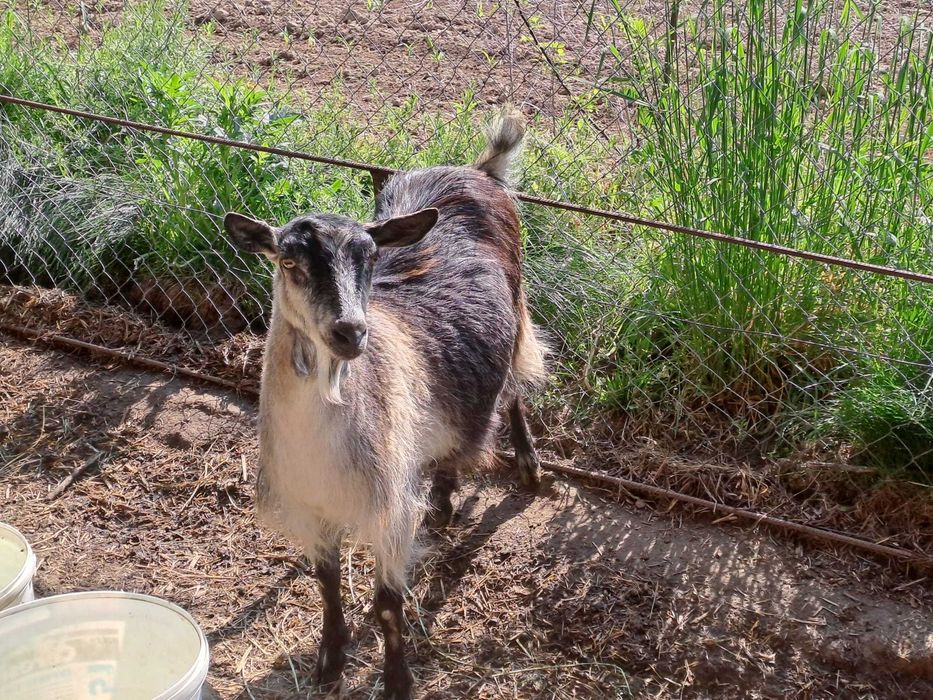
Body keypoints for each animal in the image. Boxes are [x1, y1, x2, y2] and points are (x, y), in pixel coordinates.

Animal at [224, 108, 546, 699]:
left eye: (371, 257)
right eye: (288, 261)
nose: (350, 331)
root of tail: (476, 168)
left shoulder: (389, 511)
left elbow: (388, 606)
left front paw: (398, 681)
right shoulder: (314, 509)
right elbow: (327, 587)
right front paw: (330, 662)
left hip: (518, 310)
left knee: (513, 387)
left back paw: (528, 466)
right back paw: (443, 498)